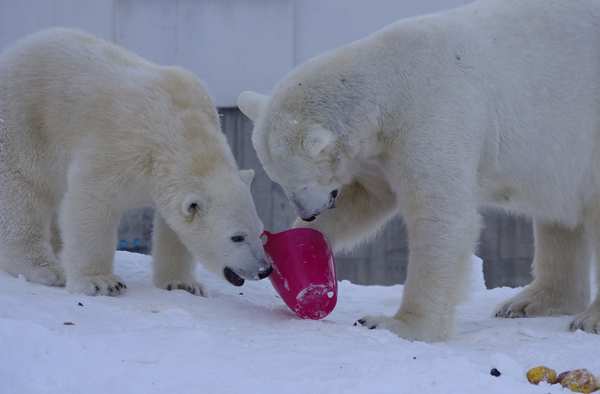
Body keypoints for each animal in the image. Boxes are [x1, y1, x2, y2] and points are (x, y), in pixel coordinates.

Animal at [0, 27, 272, 298]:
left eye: (260, 231)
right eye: (237, 237)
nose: (264, 269)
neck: (177, 128)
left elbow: (172, 227)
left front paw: (184, 284)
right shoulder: (117, 149)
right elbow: (91, 203)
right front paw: (101, 282)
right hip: (23, 125)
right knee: (22, 191)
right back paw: (46, 269)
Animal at [238, 0, 600, 340]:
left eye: (300, 182)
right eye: (278, 181)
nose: (308, 212)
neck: (390, 83)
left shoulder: (433, 117)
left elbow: (438, 217)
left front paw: (395, 324)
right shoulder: (381, 152)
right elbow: (364, 200)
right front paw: (291, 247)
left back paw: (587, 319)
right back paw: (529, 302)